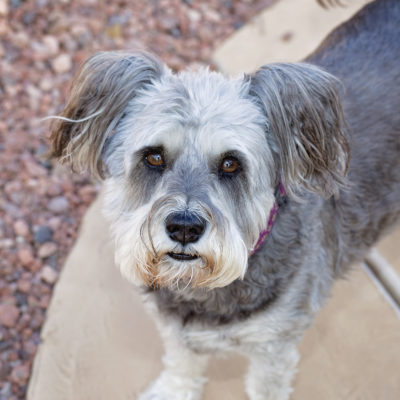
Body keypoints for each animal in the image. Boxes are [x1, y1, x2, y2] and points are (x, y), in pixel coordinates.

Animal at [47, 1, 400, 398]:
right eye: (153, 157)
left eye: (231, 163)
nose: (184, 228)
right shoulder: (175, 327)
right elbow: (182, 362)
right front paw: (174, 389)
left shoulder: (273, 348)